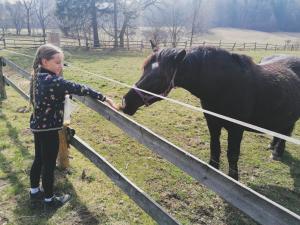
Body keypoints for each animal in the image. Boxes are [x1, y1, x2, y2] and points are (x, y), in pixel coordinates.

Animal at [120, 44, 300, 180]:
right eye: (144, 70)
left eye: (159, 78)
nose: (125, 102)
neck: (224, 86)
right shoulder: (212, 122)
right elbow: (215, 147)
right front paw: (213, 170)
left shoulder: (236, 129)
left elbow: (232, 154)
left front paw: (233, 179)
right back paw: (273, 146)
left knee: (287, 131)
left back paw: (277, 152)